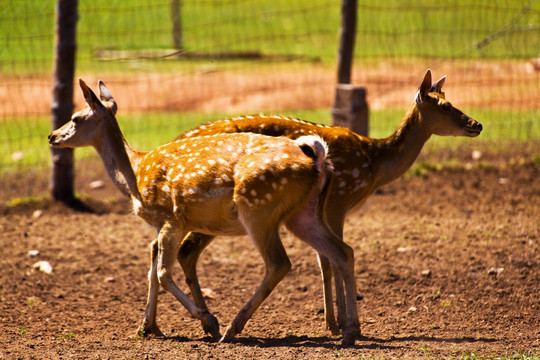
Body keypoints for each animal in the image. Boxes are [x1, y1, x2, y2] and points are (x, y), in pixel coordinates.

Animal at [47, 80, 362, 344]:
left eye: (76, 118)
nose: (51, 136)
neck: (135, 176)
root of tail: (318, 158)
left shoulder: (171, 219)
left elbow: (162, 273)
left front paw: (208, 320)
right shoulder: (166, 226)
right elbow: (152, 271)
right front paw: (147, 327)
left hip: (258, 207)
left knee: (279, 263)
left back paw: (233, 328)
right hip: (303, 213)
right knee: (342, 251)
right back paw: (350, 331)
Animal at [175, 69, 484, 338]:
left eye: (450, 100)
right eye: (445, 106)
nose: (477, 124)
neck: (373, 165)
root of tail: (178, 139)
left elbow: (326, 258)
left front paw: (334, 323)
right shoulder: (338, 201)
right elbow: (332, 260)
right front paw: (342, 324)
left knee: (178, 250)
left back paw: (191, 323)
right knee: (186, 250)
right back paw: (211, 323)